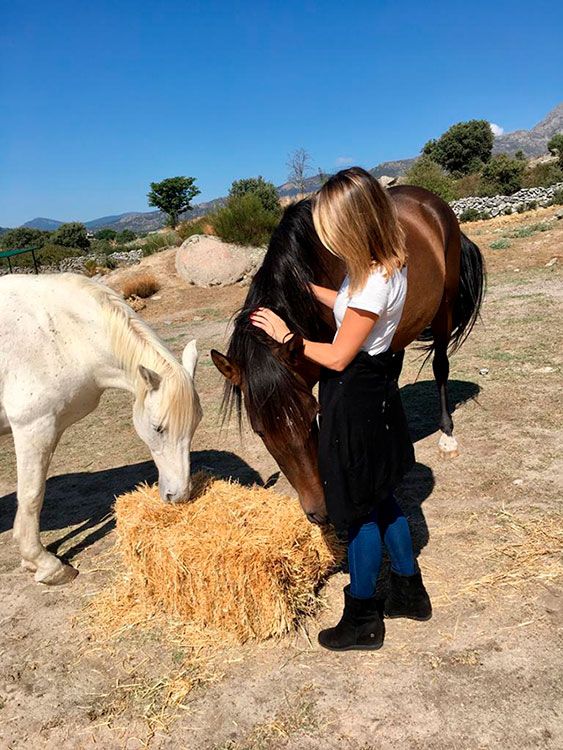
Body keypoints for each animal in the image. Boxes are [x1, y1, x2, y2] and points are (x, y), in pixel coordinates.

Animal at [0, 274, 203, 588]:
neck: (59, 332)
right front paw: (46, 565)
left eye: (195, 424)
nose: (178, 495)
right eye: (158, 428)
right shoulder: (33, 426)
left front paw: (30, 561)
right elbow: (32, 495)